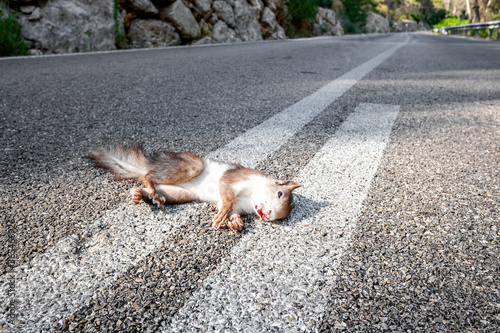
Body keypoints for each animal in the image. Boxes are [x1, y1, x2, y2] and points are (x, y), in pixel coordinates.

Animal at [89, 144, 300, 232]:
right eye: (279, 193)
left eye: (281, 217)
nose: (267, 215)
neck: (249, 198)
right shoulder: (236, 177)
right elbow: (226, 193)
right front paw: (223, 216)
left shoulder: (239, 207)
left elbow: (231, 211)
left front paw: (235, 224)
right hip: (192, 165)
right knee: (148, 176)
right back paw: (149, 189)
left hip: (180, 193)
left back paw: (140, 194)